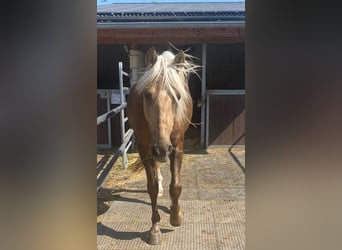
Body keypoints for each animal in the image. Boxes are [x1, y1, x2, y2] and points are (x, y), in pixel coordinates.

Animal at [127, 47, 198, 244]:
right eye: (147, 94)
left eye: (178, 96)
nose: (161, 149)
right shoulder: (145, 148)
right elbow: (151, 188)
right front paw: (155, 229)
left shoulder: (177, 146)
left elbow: (176, 186)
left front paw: (176, 216)